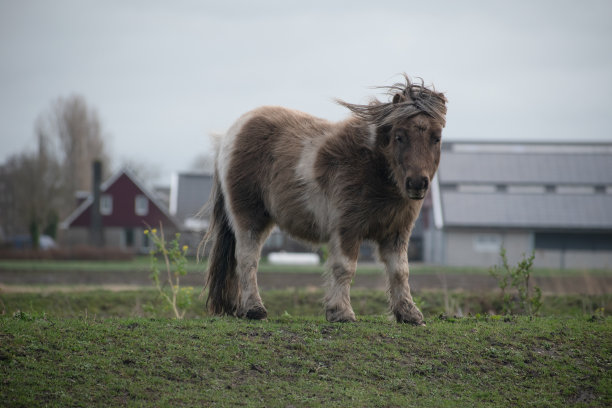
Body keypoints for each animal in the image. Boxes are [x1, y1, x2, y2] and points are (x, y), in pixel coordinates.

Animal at [203, 75, 448, 326]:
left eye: (436, 138)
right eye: (399, 136)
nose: (417, 183)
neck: (371, 165)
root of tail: (231, 134)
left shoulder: (397, 232)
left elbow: (400, 271)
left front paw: (409, 314)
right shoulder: (347, 228)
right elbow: (345, 268)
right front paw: (341, 312)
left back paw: (239, 309)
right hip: (249, 217)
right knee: (247, 259)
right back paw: (254, 309)